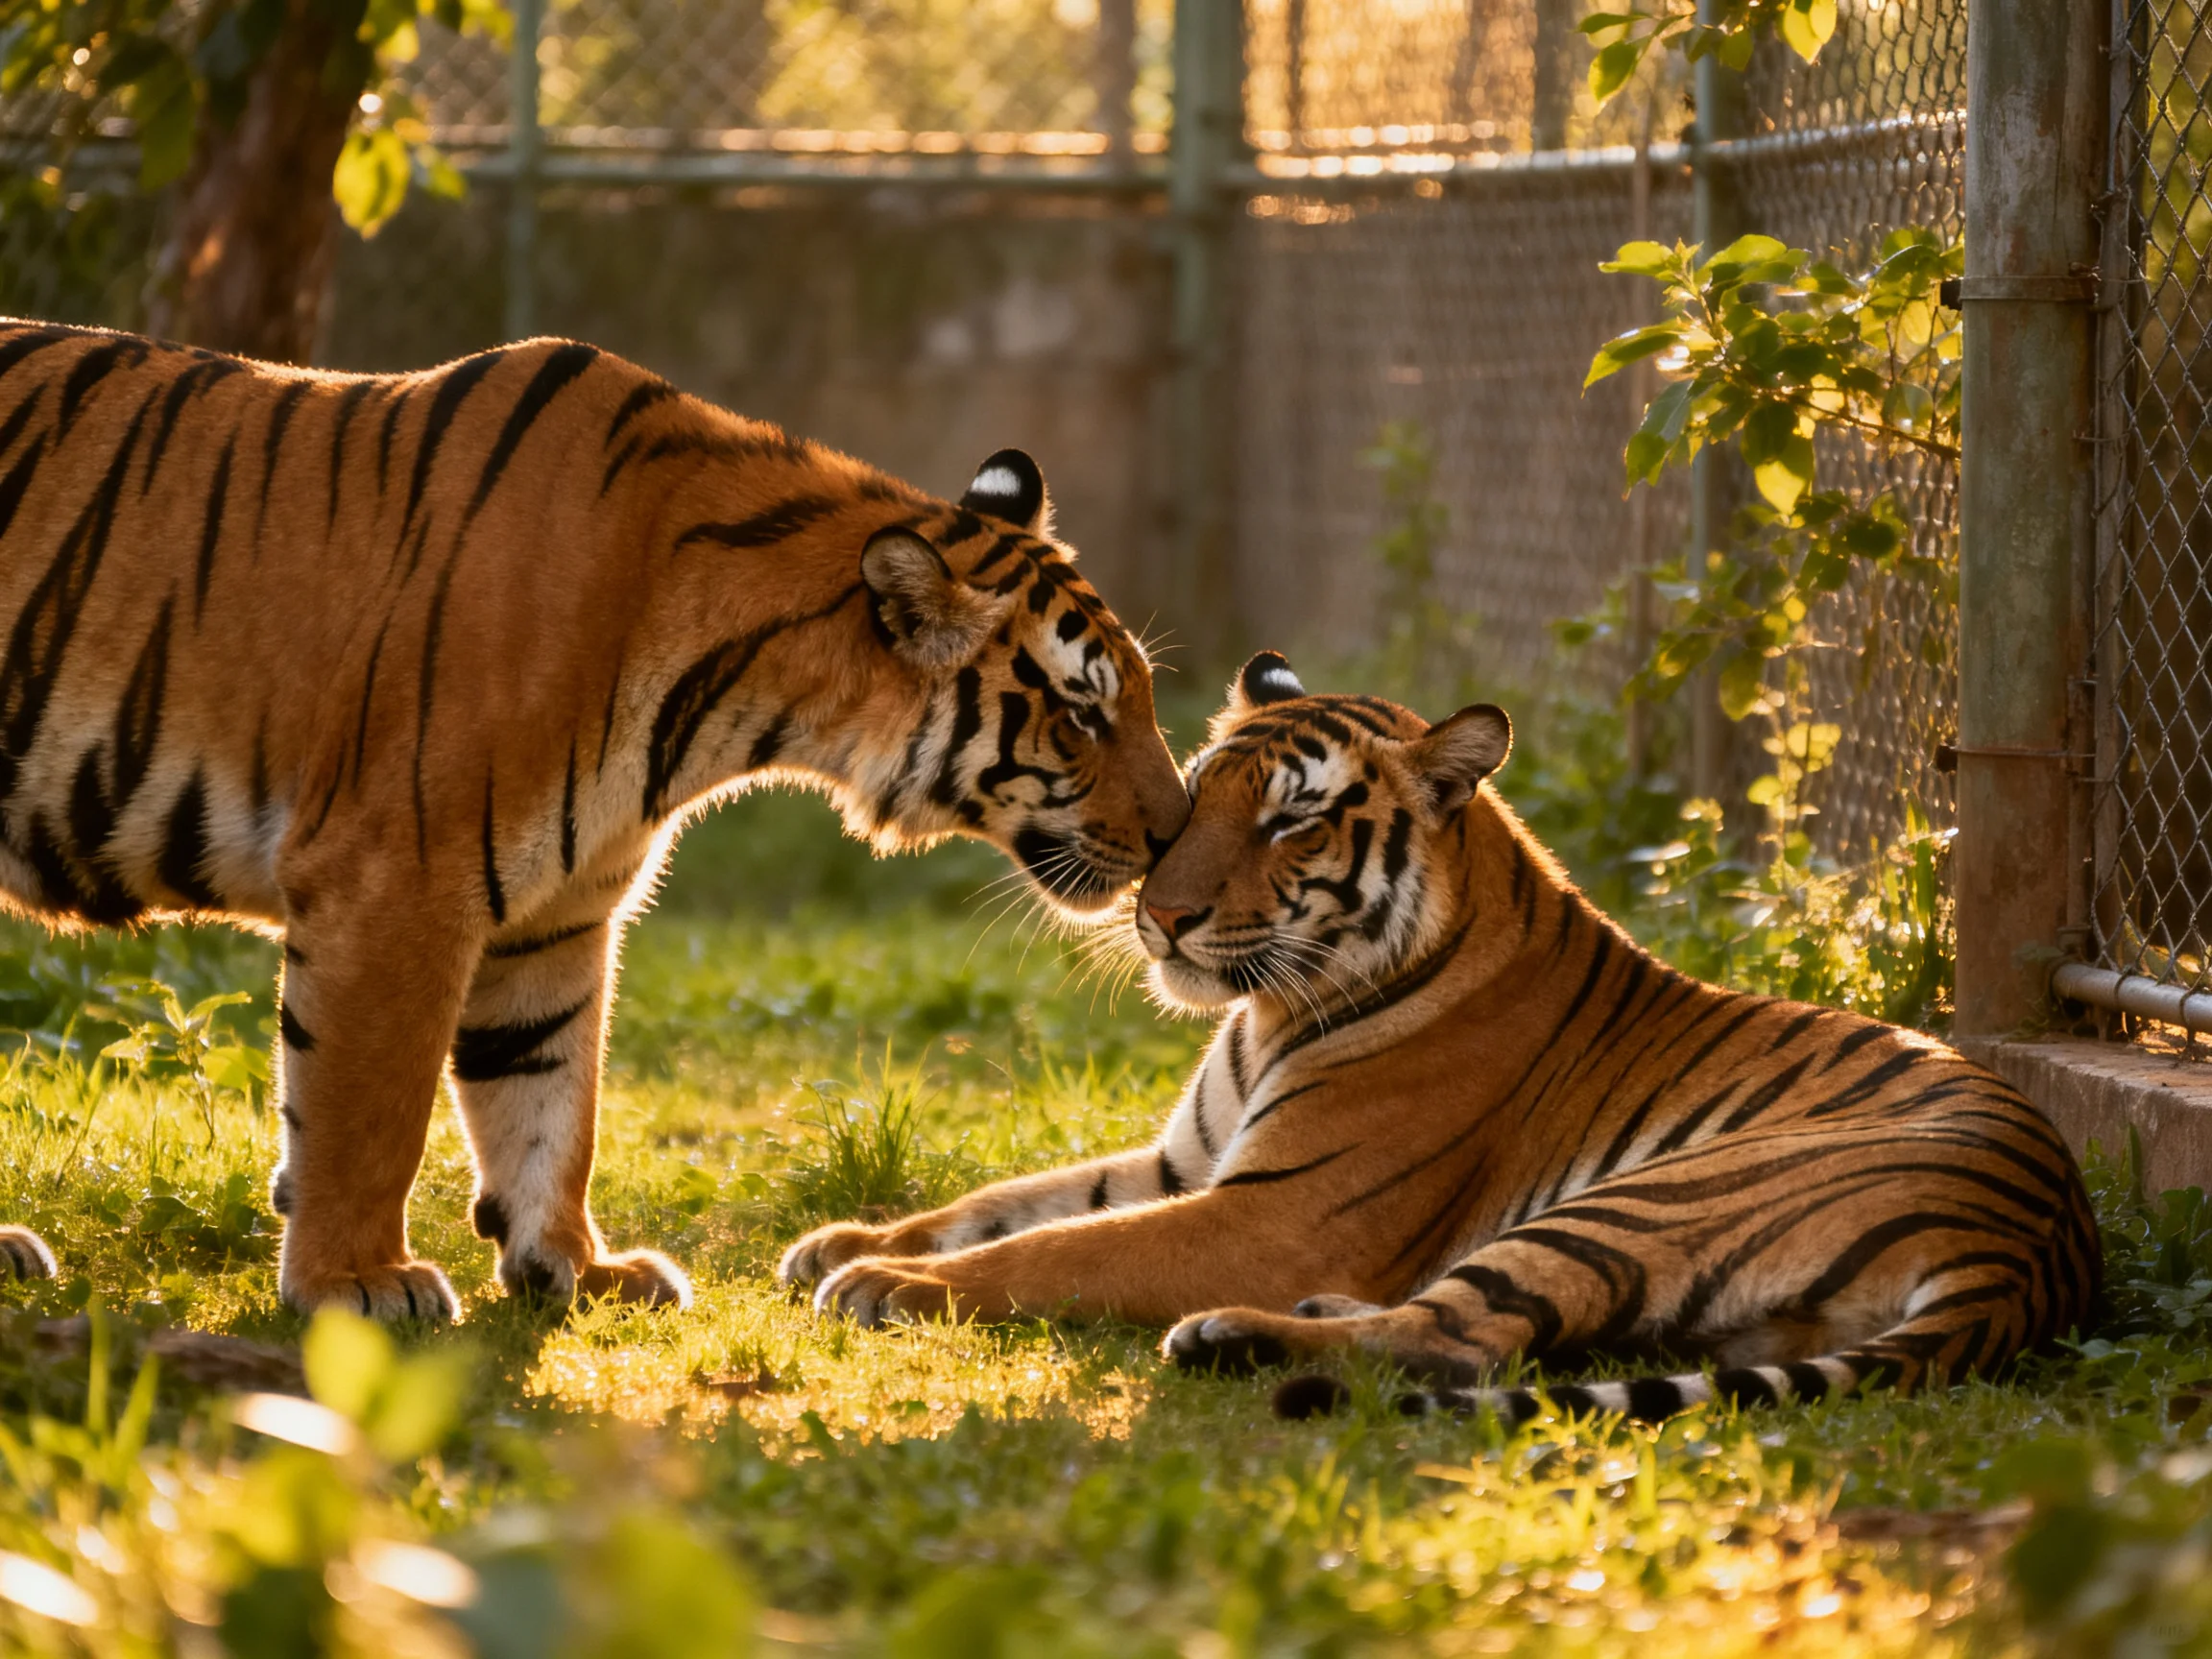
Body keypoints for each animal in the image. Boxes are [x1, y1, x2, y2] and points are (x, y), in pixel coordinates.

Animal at [0, 318, 1187, 1323]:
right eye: (1082, 712)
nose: (1177, 834)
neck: (732, 696)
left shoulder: (556, 908)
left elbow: (549, 1095)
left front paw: (571, 1266)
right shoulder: (393, 879)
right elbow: (368, 1111)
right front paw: (357, 1283)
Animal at [782, 652, 2101, 1425]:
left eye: (1293, 821)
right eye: (1200, 792)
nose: (1160, 914)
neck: (1270, 1010)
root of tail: (2027, 1251)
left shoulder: (1272, 1213)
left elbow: (1058, 1251)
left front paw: (885, 1283)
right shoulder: (1180, 1163)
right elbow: (1006, 1202)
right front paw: (844, 1240)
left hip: (1642, 1200)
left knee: (1457, 1341)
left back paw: (1232, 1333)